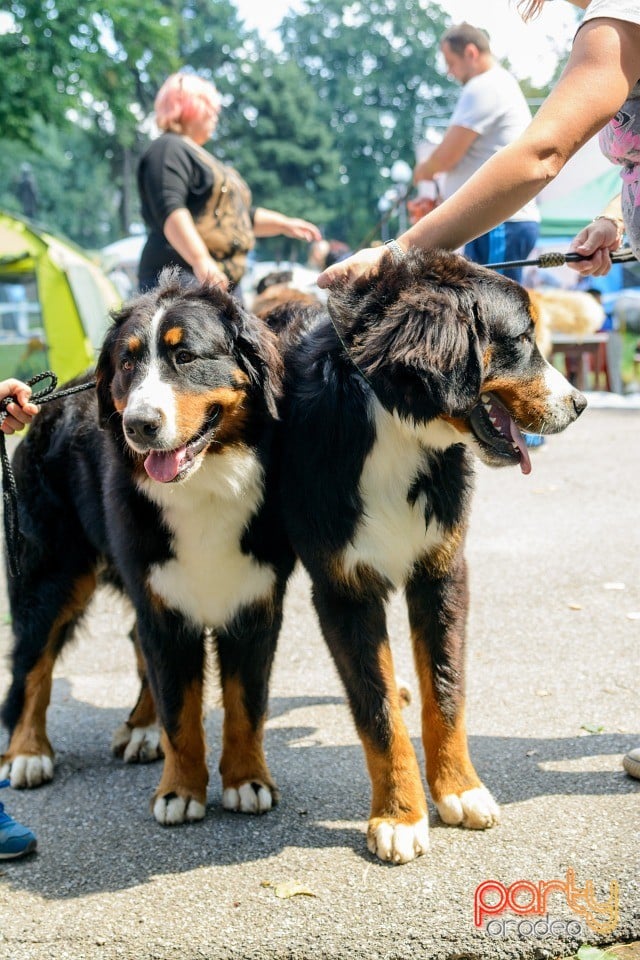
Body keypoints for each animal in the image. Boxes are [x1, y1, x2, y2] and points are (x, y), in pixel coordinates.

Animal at [0, 268, 296, 824]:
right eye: (128, 363)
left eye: (186, 357)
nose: (139, 425)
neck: (206, 484)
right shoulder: (161, 599)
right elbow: (181, 710)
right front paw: (180, 790)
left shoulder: (254, 598)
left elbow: (246, 704)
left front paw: (246, 779)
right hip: (52, 573)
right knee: (33, 660)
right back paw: (27, 752)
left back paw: (140, 727)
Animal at [278, 248, 588, 864]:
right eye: (522, 338)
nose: (581, 403)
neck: (397, 432)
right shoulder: (344, 590)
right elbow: (376, 714)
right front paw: (399, 815)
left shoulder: (443, 572)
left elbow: (445, 691)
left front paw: (458, 789)